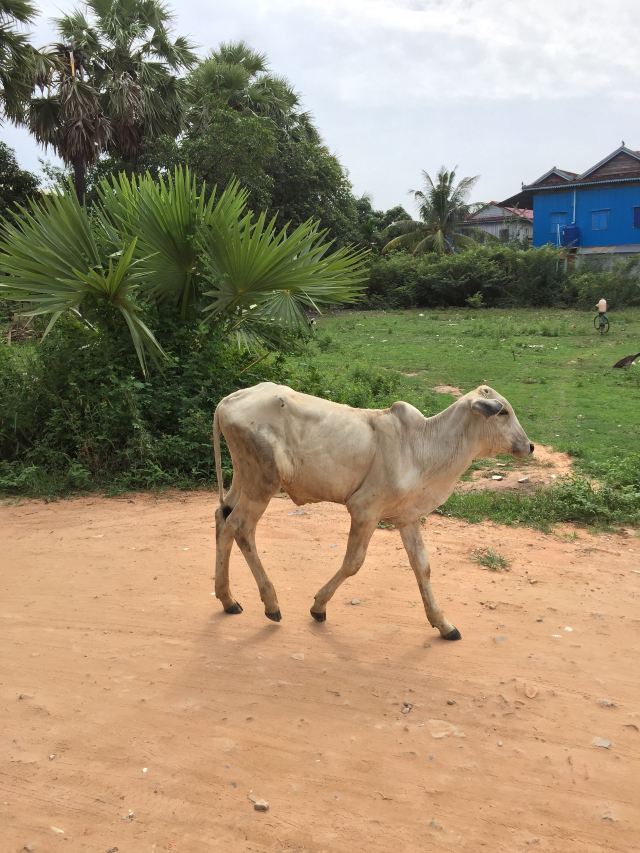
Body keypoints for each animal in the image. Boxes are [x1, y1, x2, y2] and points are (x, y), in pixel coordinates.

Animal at [212, 382, 532, 640]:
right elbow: (353, 562)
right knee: (241, 527)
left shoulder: (408, 518)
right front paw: (318, 607)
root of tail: (227, 401)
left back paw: (228, 599)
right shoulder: (364, 510)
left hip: (244, 479)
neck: (423, 446)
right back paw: (270, 604)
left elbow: (422, 567)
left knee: (223, 519)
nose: (529, 446)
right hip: (262, 483)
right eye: (502, 412)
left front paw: (444, 625)